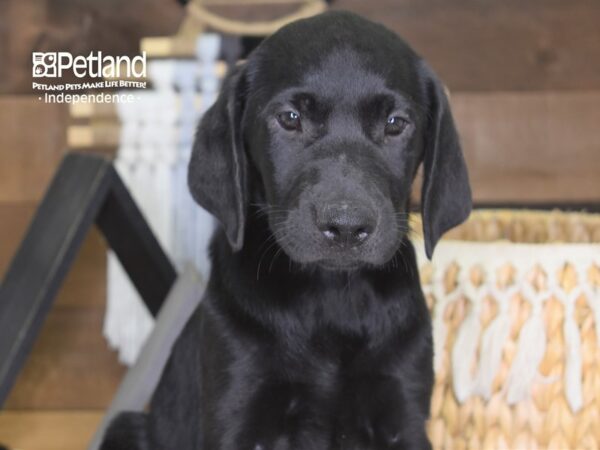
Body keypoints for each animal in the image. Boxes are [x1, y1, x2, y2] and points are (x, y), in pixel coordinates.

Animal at [101, 9, 472, 450]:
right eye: (290, 119)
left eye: (396, 123)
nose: (346, 225)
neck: (331, 300)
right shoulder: (238, 409)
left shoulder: (404, 412)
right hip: (126, 426)